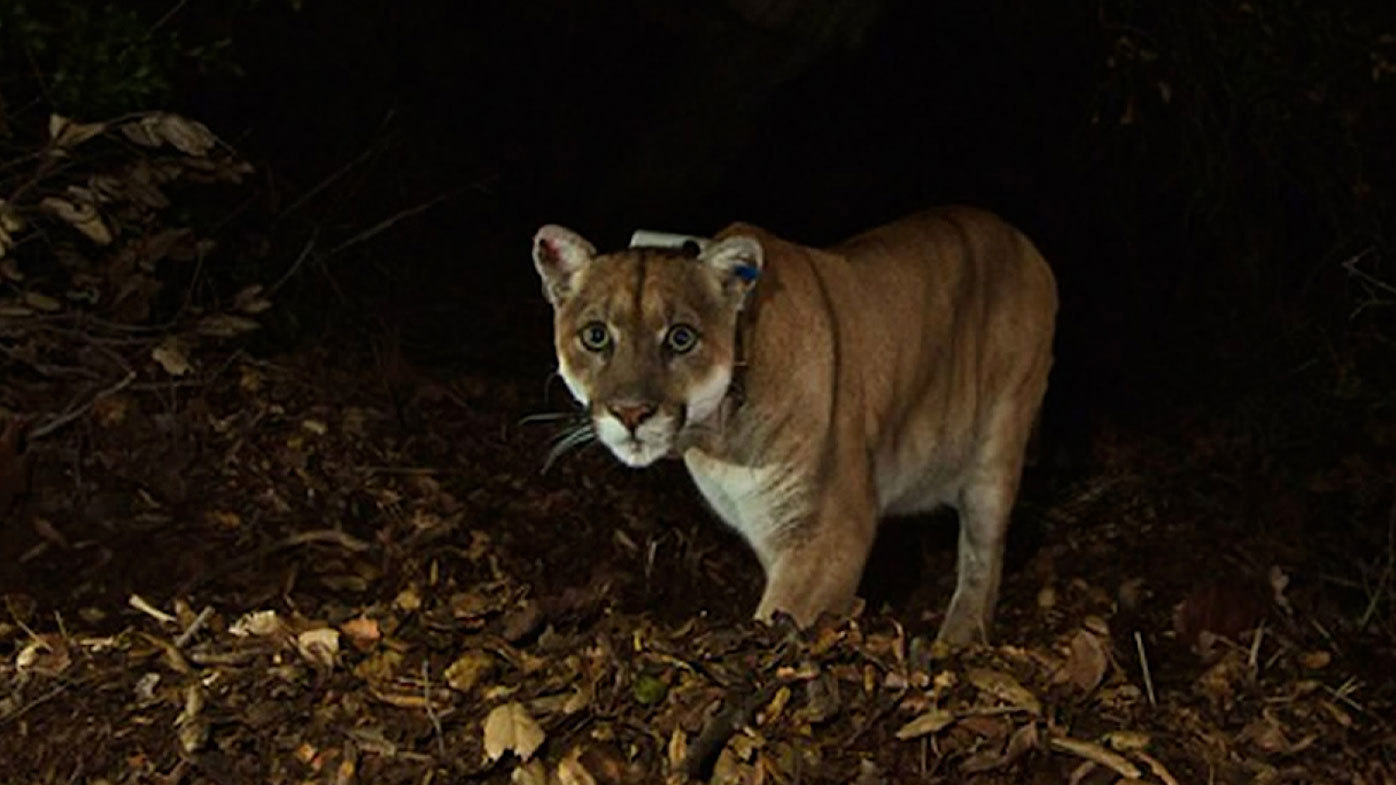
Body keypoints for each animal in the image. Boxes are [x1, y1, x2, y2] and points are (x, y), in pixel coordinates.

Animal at [533, 208, 1055, 642]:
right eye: (595, 335)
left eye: (681, 338)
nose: (631, 413)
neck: (715, 437)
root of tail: (1020, 238)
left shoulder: (828, 533)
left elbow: (780, 617)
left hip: (997, 446)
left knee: (983, 556)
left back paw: (958, 638)